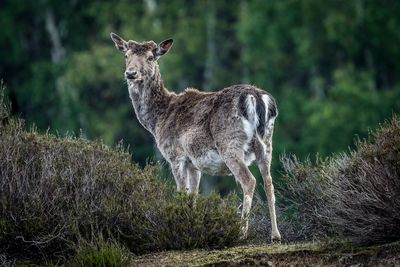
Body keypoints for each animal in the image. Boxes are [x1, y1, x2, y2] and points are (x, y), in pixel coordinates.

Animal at [111, 31, 282, 243]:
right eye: (126, 55)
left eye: (151, 57)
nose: (131, 73)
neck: (157, 120)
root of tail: (257, 98)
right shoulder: (194, 163)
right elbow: (193, 195)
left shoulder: (175, 155)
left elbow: (181, 192)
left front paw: (179, 231)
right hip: (266, 143)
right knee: (269, 182)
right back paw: (275, 235)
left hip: (230, 144)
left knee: (249, 181)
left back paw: (242, 233)